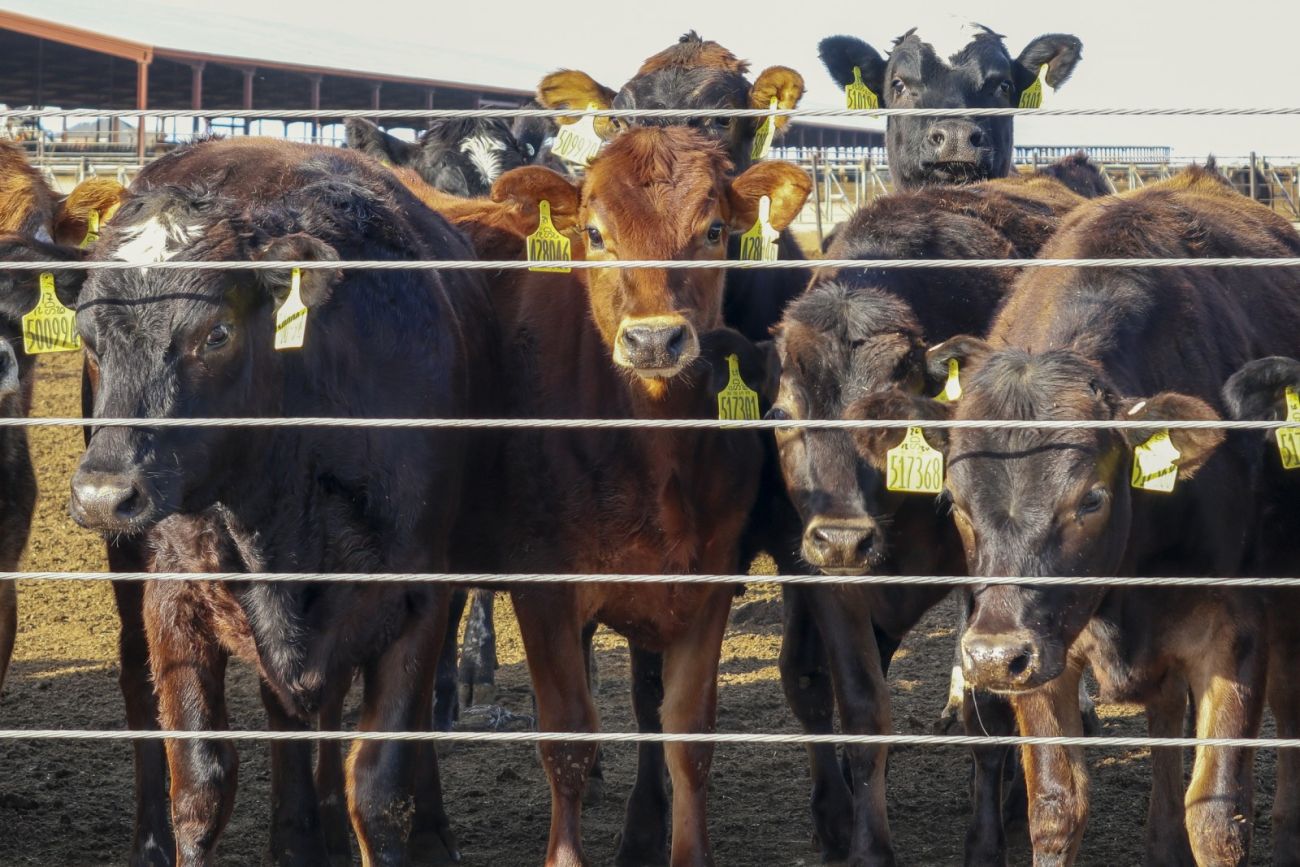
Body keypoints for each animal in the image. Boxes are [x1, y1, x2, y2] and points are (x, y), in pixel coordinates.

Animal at [69, 137, 496, 867]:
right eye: (89, 336)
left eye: (215, 333)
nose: (104, 492)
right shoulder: (173, 596)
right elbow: (202, 783)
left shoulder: (417, 594)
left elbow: (379, 786)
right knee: (141, 682)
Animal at [426, 130, 811, 867]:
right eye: (595, 233)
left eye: (713, 230)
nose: (654, 339)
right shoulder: (542, 584)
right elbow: (568, 739)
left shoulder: (709, 578)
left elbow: (686, 732)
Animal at [857, 166, 1300, 863]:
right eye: (954, 500)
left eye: (1091, 497)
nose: (991, 658)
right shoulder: (1041, 648)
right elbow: (1057, 807)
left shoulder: (1238, 632)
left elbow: (1218, 813)